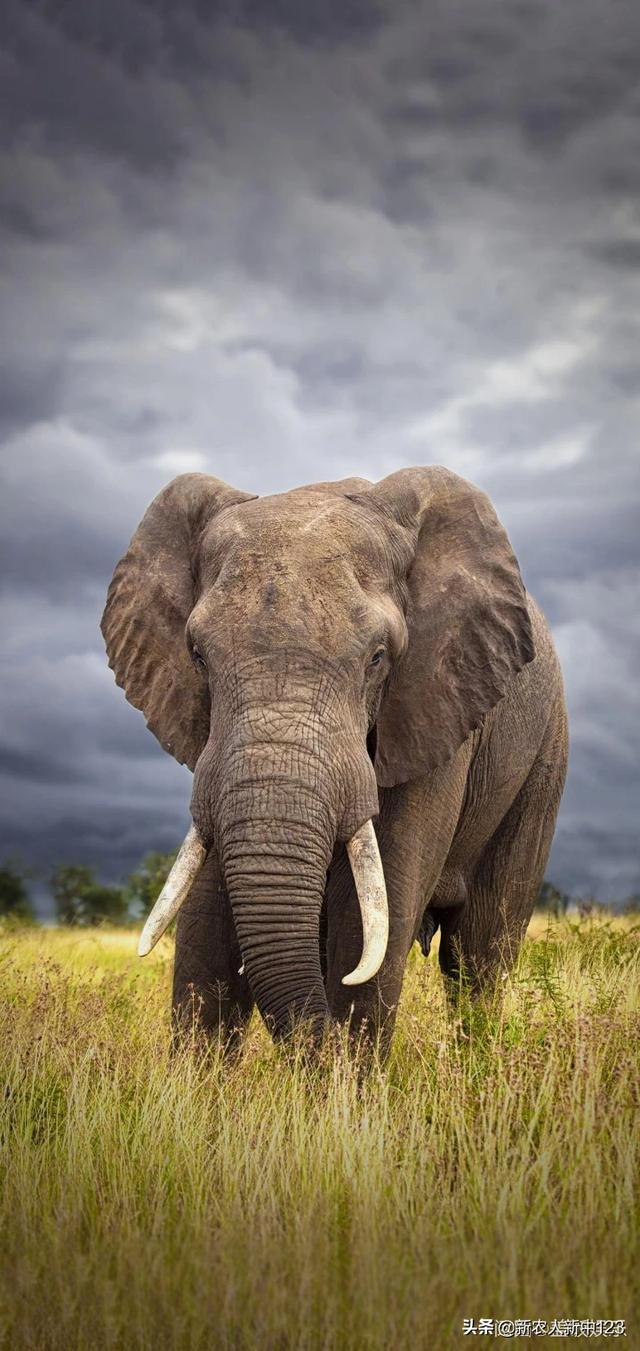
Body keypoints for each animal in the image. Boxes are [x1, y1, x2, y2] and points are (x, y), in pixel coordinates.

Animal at [101, 467, 569, 1053]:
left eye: (378, 658)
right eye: (198, 657)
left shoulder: (432, 707)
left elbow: (370, 918)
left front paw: (344, 1071)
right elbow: (204, 925)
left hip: (545, 754)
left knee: (480, 954)